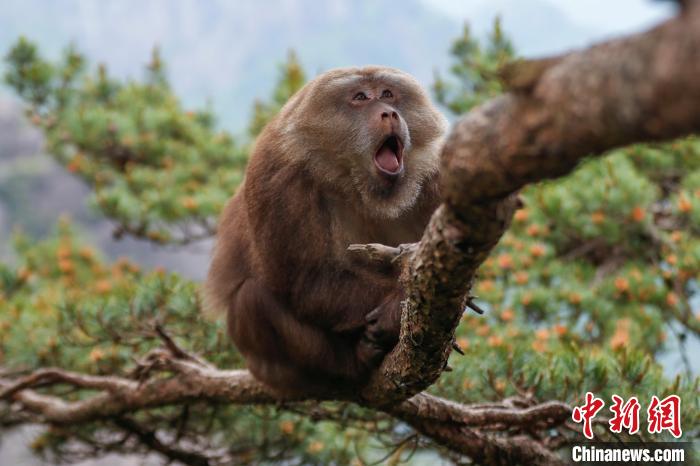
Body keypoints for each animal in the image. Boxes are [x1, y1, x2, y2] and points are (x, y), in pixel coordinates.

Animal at [205, 64, 448, 394]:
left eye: (387, 94)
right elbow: (306, 282)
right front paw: (397, 307)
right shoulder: (277, 178)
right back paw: (352, 362)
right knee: (251, 299)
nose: (389, 113)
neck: (356, 184)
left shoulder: (436, 177)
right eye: (360, 97)